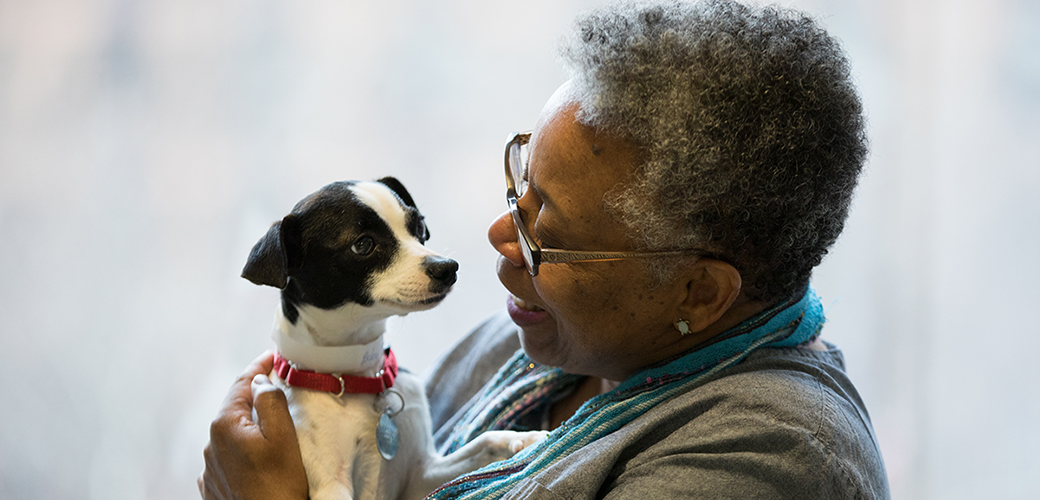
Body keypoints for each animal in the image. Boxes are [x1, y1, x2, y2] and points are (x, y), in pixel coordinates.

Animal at [242, 178, 544, 498]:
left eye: (419, 227)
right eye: (363, 245)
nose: (447, 267)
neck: (357, 378)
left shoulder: (420, 475)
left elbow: (481, 445)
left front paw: (519, 440)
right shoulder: (331, 486)